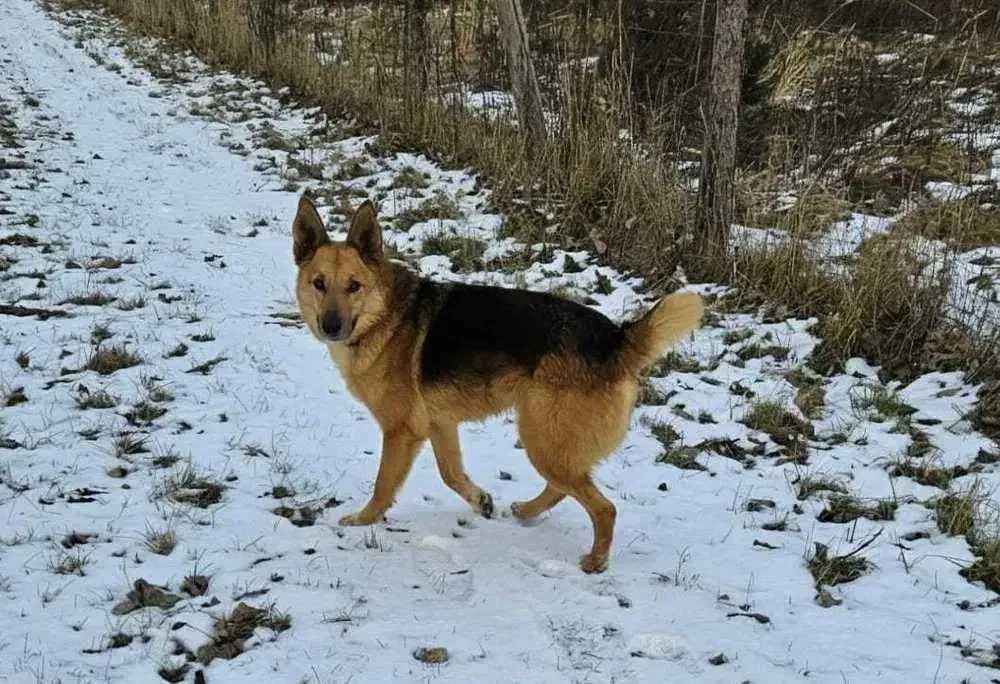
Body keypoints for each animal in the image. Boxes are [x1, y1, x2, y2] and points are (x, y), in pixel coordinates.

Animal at [292, 195, 703, 572]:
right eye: (319, 284)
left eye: (354, 286)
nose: (331, 327)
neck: (384, 316)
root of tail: (616, 338)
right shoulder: (440, 424)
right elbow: (451, 474)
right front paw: (480, 500)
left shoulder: (401, 432)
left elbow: (382, 484)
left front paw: (364, 520)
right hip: (549, 441)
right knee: (564, 487)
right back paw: (527, 511)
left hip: (541, 438)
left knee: (604, 507)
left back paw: (595, 561)